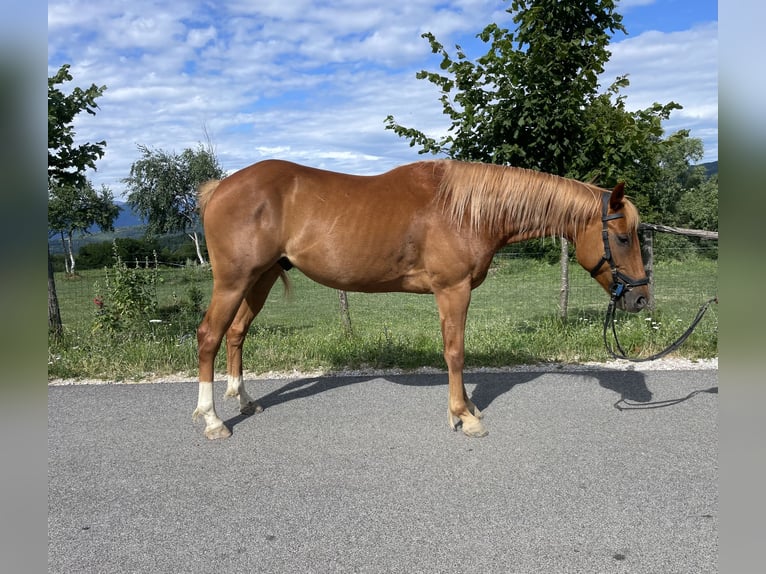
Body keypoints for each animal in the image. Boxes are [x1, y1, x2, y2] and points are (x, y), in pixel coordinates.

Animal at [192, 159, 649, 439]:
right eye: (623, 237)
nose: (641, 299)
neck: (467, 211)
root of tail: (221, 188)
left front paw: (468, 408)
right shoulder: (452, 290)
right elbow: (455, 352)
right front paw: (463, 416)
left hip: (262, 277)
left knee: (236, 333)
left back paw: (245, 402)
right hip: (233, 281)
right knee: (210, 336)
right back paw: (212, 420)